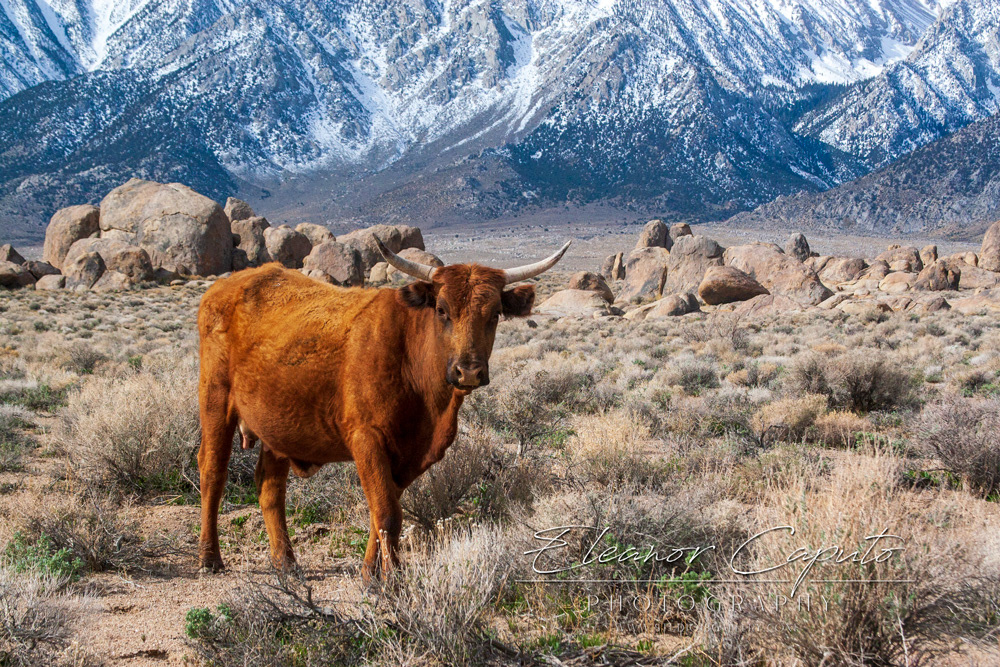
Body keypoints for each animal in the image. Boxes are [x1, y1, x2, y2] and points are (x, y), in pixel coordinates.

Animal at [195, 237, 570, 579]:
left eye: (494, 314)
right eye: (442, 310)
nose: (469, 371)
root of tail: (228, 285)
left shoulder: (407, 454)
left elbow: (384, 510)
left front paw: (370, 573)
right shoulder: (368, 440)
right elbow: (387, 512)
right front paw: (390, 580)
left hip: (278, 427)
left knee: (270, 487)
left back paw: (285, 562)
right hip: (216, 402)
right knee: (212, 471)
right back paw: (210, 558)